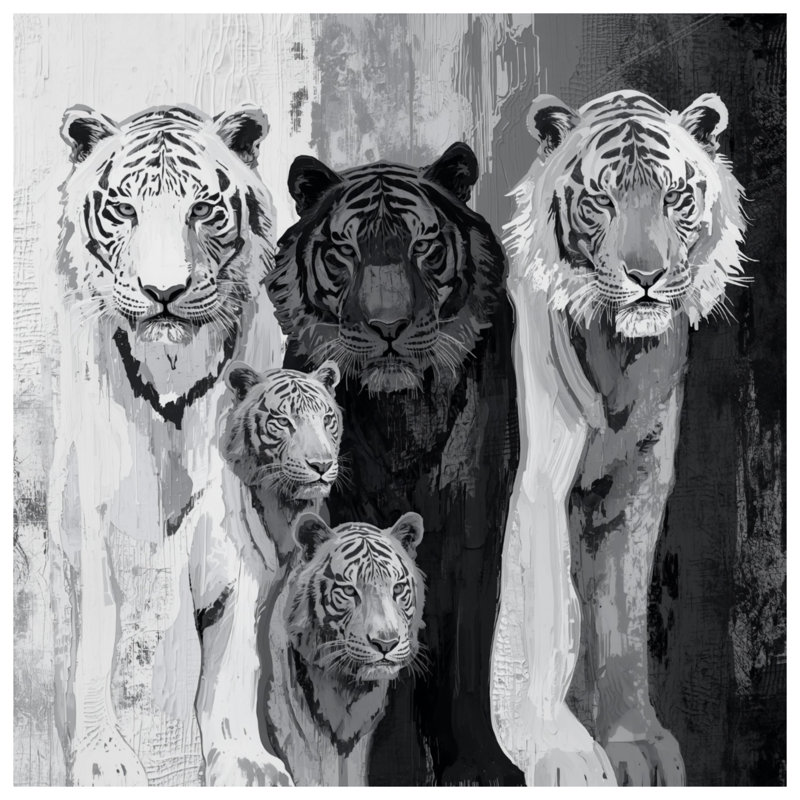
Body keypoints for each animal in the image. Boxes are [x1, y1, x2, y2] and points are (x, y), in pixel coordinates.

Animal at [47, 102, 286, 785]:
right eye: (124, 210)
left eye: (203, 209)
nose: (164, 292)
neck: (173, 378)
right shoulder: (93, 531)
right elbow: (98, 644)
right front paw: (103, 760)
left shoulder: (243, 545)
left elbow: (235, 665)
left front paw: (246, 759)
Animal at [265, 511, 427, 785]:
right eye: (350, 590)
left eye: (397, 588)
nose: (386, 642)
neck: (347, 687)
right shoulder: (300, 731)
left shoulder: (361, 736)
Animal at [492, 90, 748, 786]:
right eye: (601, 201)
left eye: (675, 198)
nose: (647, 277)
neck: (620, 352)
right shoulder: (543, 478)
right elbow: (547, 609)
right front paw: (558, 751)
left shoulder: (635, 484)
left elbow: (621, 620)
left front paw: (636, 743)